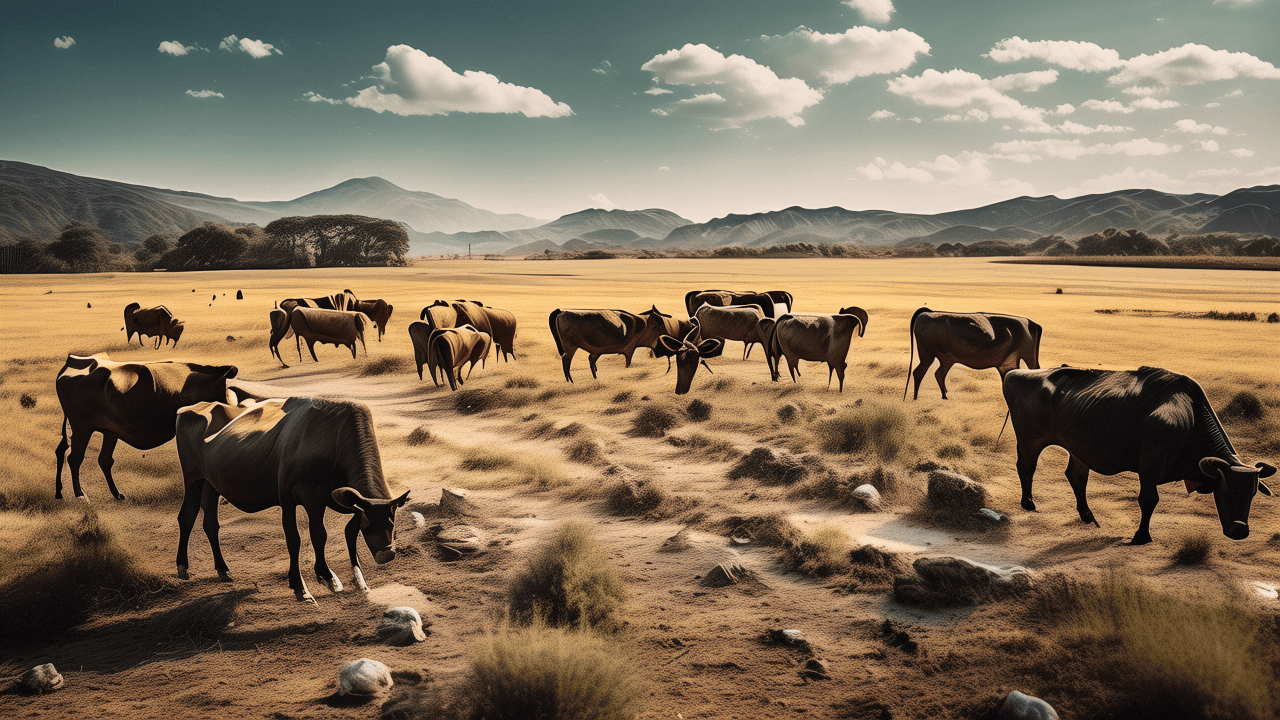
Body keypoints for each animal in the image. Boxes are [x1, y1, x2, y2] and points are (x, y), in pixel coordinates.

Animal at [51, 353, 240, 499]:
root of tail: (73, 360)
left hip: (107, 431)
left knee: (93, 457)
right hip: (81, 427)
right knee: (75, 458)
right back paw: (80, 495)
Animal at [175, 394, 409, 602]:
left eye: (392, 523)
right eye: (369, 525)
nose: (386, 555)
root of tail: (195, 406)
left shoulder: (338, 498)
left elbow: (344, 532)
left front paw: (352, 579)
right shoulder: (295, 495)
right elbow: (302, 537)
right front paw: (305, 585)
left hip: (210, 484)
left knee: (210, 523)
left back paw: (223, 569)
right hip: (192, 476)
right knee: (187, 515)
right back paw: (182, 566)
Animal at [547, 303, 675, 381]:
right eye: (661, 321)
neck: (642, 324)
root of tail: (561, 311)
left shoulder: (597, 352)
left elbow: (593, 363)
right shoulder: (629, 350)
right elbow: (628, 364)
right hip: (570, 346)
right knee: (566, 361)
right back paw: (570, 382)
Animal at [901, 304, 1039, 399]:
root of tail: (926, 313)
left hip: (937, 358)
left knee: (933, 373)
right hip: (930, 356)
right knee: (926, 373)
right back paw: (924, 397)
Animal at [1003, 366, 1274, 540]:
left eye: (1252, 493)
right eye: (1223, 489)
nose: (1240, 530)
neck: (1190, 416)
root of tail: (1016, 373)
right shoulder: (1150, 464)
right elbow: (1149, 499)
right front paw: (1141, 536)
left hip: (1077, 448)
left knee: (1076, 476)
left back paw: (1089, 516)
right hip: (1030, 440)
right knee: (1026, 467)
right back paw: (1028, 503)